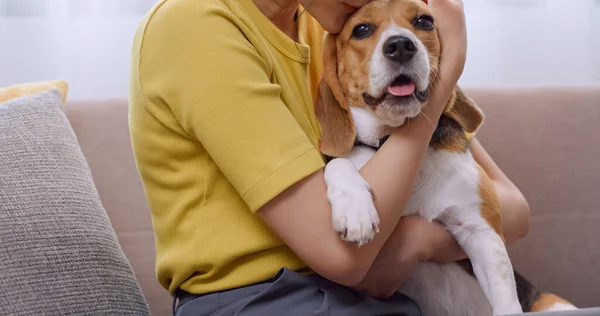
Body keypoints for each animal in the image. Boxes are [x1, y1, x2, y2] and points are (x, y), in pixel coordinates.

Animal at [316, 0, 580, 316]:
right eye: (361, 29)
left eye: (425, 21)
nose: (401, 46)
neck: (389, 140)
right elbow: (338, 162)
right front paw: (354, 210)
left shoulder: (481, 230)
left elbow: (504, 294)